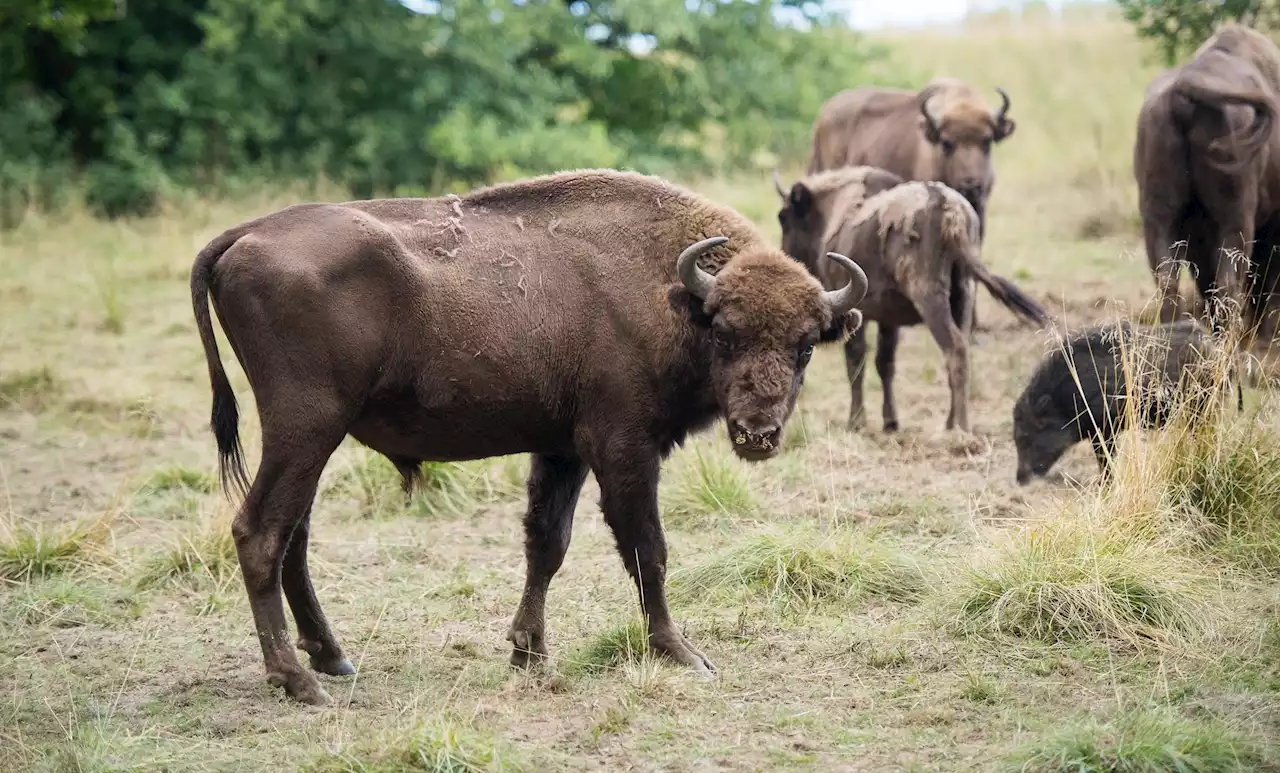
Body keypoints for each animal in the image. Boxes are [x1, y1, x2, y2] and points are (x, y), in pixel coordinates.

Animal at [192, 167, 870, 706]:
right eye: (725, 334)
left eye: (805, 346)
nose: (758, 432)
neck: (672, 292)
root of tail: (244, 234)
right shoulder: (623, 449)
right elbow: (647, 548)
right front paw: (682, 654)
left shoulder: (563, 450)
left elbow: (547, 543)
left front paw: (528, 652)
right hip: (306, 427)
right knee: (261, 533)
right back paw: (298, 681)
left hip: (311, 440)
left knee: (294, 535)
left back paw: (333, 659)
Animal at [773, 168, 1044, 432]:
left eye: (784, 217)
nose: (787, 257)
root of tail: (948, 206)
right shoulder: (888, 320)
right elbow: (885, 364)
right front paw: (890, 422)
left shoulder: (858, 313)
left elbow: (856, 362)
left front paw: (856, 422)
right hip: (964, 296)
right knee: (959, 351)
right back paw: (949, 422)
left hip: (929, 298)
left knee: (954, 349)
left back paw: (960, 427)